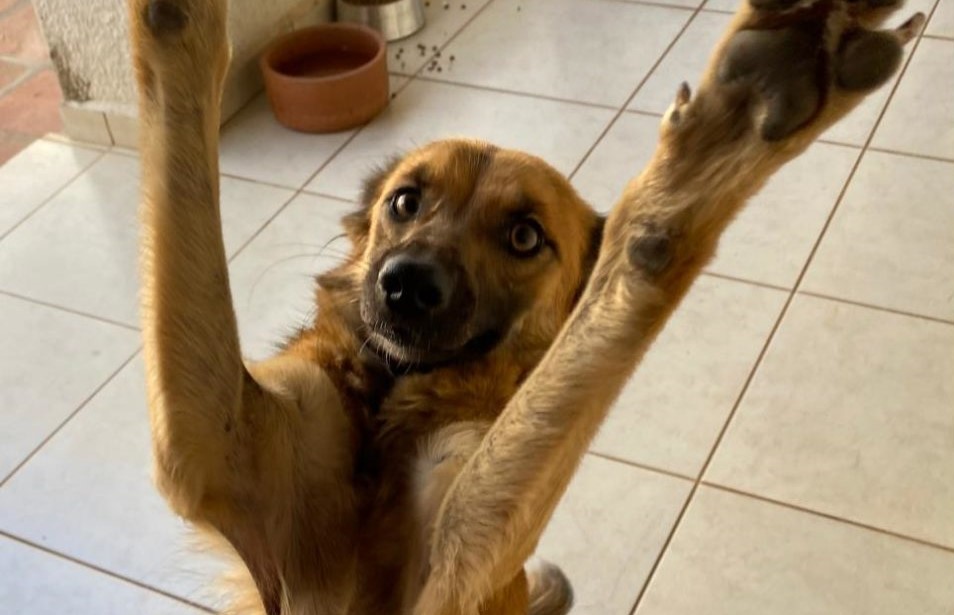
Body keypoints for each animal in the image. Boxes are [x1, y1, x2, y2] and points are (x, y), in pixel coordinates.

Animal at [126, 0, 924, 612]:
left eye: (523, 236)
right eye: (406, 202)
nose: (405, 284)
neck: (393, 400)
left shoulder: (450, 565)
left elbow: (621, 289)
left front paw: (724, 138)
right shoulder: (211, 445)